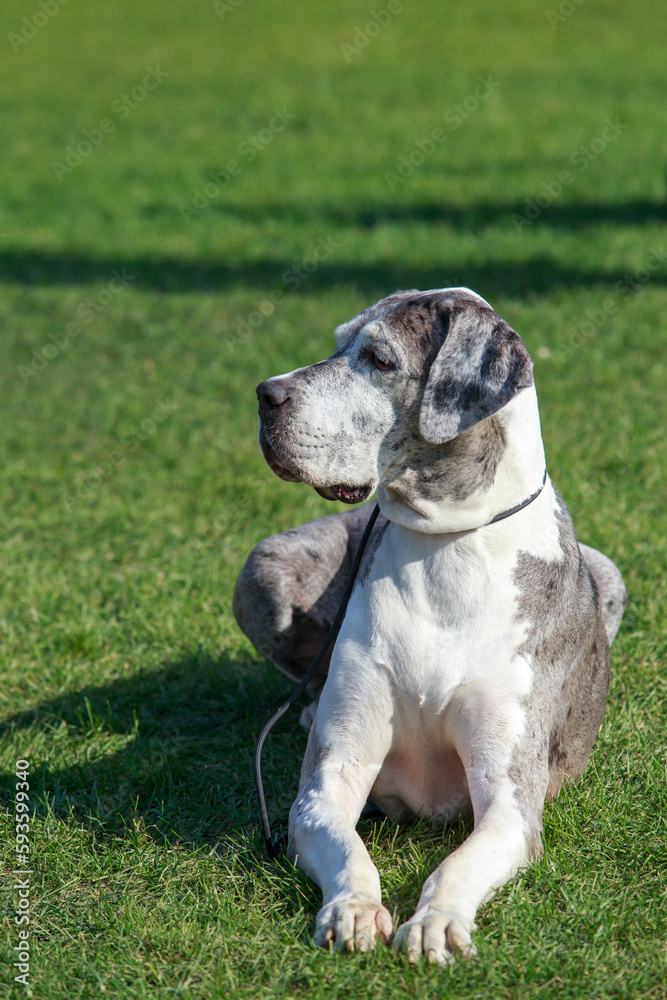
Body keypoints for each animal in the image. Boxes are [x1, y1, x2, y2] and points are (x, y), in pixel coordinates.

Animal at [234, 290, 628, 968]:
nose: (266, 393)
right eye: (338, 343)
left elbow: (459, 863)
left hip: (612, 575)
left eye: (379, 359)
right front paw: (353, 907)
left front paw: (437, 920)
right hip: (265, 568)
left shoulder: (509, 803)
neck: (445, 546)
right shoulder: (325, 786)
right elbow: (346, 847)